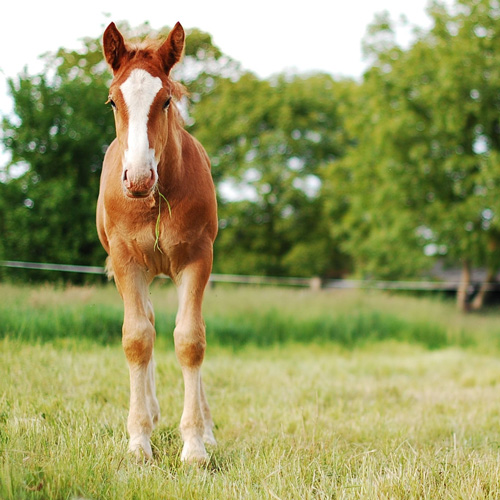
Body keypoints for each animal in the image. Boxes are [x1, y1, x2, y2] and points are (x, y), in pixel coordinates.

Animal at [96, 21, 218, 462]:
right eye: (112, 101)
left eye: (165, 100)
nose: (138, 177)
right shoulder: (126, 261)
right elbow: (136, 338)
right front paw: (138, 442)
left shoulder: (197, 259)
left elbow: (191, 339)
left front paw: (196, 445)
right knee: (145, 323)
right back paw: (148, 411)